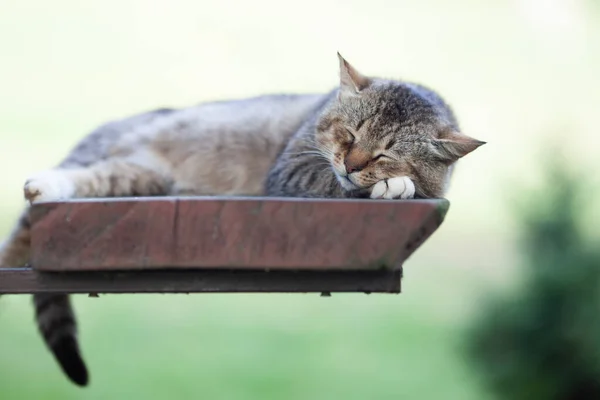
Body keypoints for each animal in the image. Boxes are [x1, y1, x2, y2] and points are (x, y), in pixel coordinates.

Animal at [0, 53, 486, 384]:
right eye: (348, 135)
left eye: (385, 153)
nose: (351, 164)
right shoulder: (292, 168)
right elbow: (336, 183)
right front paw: (386, 187)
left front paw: (398, 183)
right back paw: (41, 187)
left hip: (136, 177)